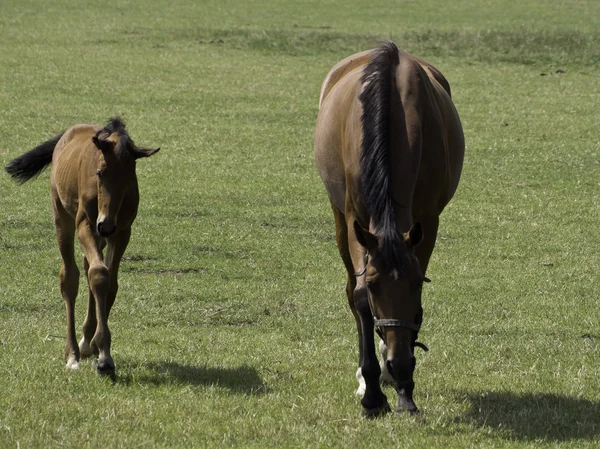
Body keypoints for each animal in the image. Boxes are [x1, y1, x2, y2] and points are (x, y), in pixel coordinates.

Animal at [5, 117, 159, 376]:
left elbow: (110, 283)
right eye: (99, 172)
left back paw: (87, 342)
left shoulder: (122, 232)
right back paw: (73, 355)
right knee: (70, 277)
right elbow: (98, 274)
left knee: (88, 272)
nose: (105, 225)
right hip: (63, 219)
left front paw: (100, 351)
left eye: (130, 176)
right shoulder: (85, 225)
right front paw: (104, 358)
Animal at [314, 43, 464, 416]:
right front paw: (371, 393)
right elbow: (358, 297)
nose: (399, 363)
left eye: (415, 284)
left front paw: (404, 388)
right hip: (339, 217)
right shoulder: (355, 219)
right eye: (375, 287)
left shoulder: (427, 222)